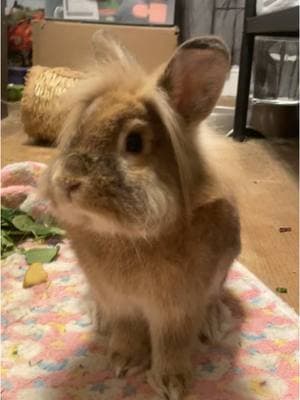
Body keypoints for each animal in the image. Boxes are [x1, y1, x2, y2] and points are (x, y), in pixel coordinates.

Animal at [40, 33, 241, 400]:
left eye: (134, 142)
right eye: (78, 131)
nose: (68, 182)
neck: (126, 235)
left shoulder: (178, 309)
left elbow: (172, 343)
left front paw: (172, 383)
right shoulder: (119, 301)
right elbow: (127, 329)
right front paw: (123, 362)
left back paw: (213, 323)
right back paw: (99, 319)